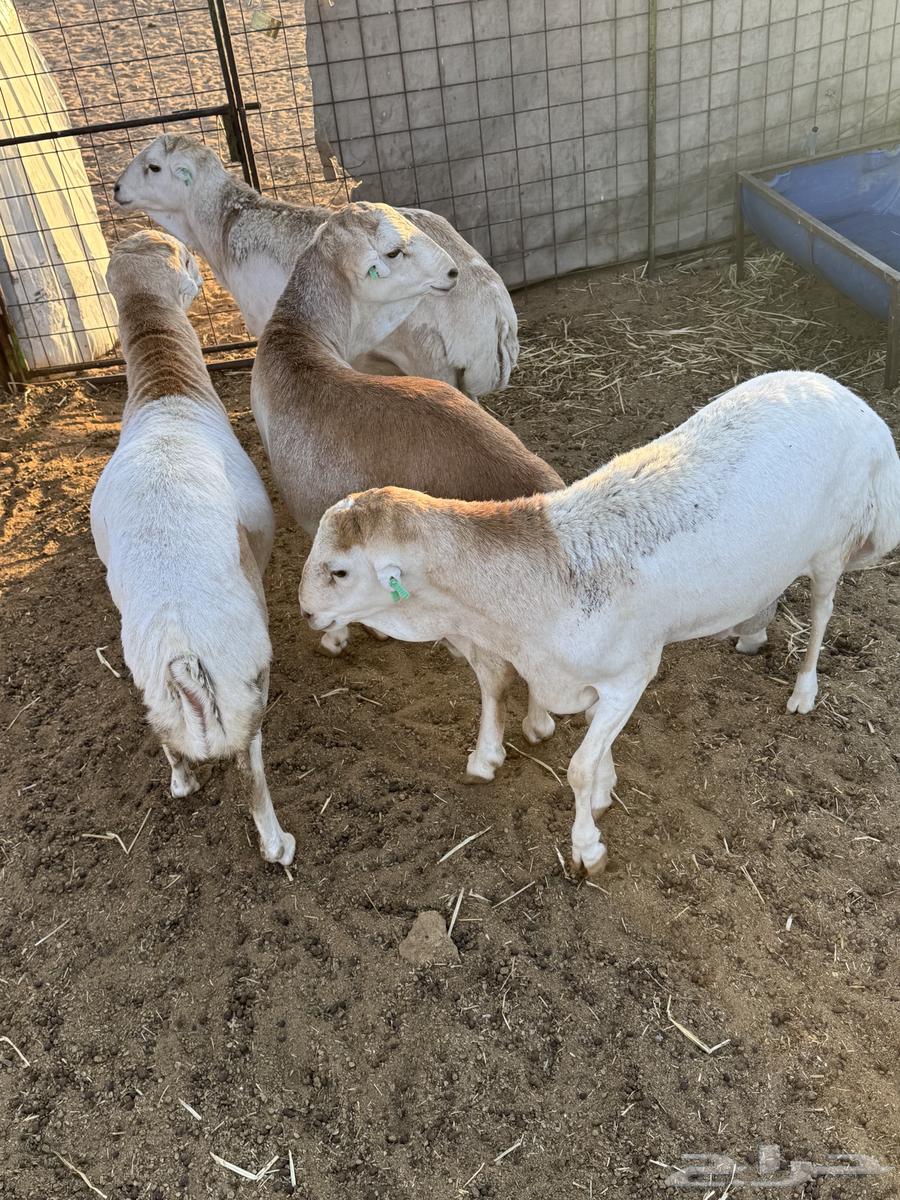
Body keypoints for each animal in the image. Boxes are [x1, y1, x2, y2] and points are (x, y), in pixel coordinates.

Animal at [90, 230, 295, 867]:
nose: (201, 276)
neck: (167, 395)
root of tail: (184, 651)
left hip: (153, 687)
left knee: (170, 743)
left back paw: (183, 782)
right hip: (244, 686)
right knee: (251, 770)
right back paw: (278, 844)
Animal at [252, 200, 564, 781]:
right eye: (395, 251)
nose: (453, 272)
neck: (299, 340)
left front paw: (337, 635)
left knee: (495, 672)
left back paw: (487, 754)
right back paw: (538, 724)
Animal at [298, 371, 900, 874]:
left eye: (340, 570)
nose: (305, 611)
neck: (533, 588)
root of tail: (856, 405)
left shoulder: (629, 678)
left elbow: (579, 768)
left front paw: (587, 846)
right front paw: (602, 790)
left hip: (833, 547)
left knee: (821, 613)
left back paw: (804, 689)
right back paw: (751, 632)